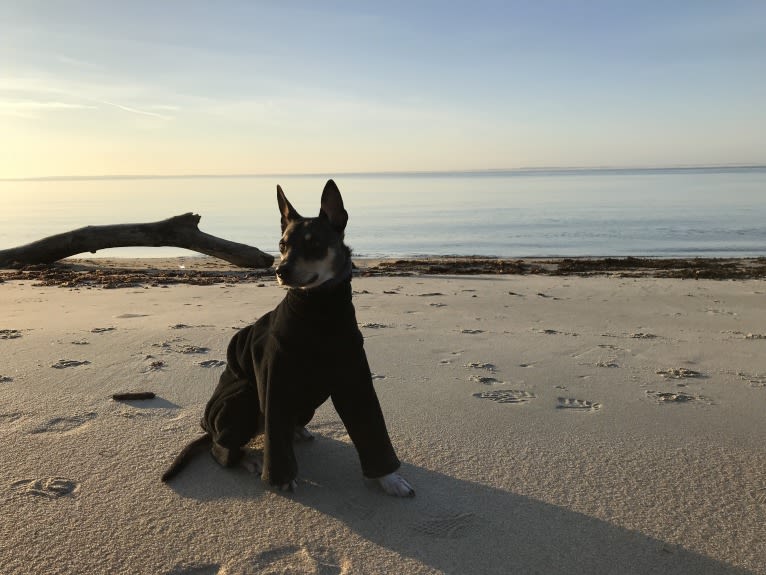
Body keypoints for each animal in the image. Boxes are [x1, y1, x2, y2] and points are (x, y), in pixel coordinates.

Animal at [160, 181, 414, 500]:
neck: (320, 308)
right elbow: (275, 433)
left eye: (314, 244)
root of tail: (209, 425)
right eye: (282, 246)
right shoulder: (276, 379)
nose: (280, 270)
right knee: (221, 449)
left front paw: (389, 478)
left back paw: (297, 432)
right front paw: (280, 478)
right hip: (243, 397)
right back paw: (248, 458)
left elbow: (370, 426)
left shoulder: (354, 375)